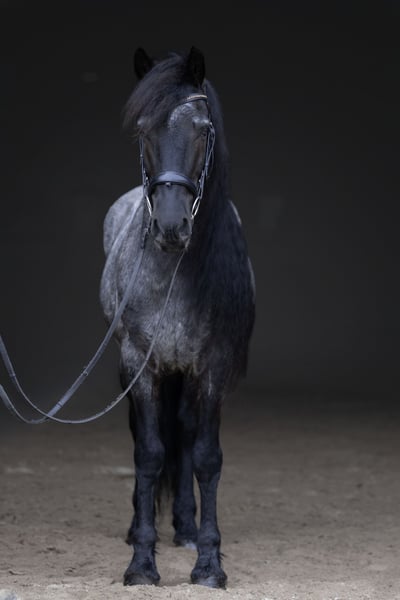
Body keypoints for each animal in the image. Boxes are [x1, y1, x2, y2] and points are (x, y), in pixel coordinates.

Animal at [99, 46, 256, 589]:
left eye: (203, 129)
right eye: (143, 129)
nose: (170, 226)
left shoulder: (212, 367)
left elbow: (205, 457)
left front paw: (208, 564)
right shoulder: (140, 364)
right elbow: (148, 453)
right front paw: (141, 564)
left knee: (185, 436)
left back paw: (185, 528)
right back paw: (136, 526)